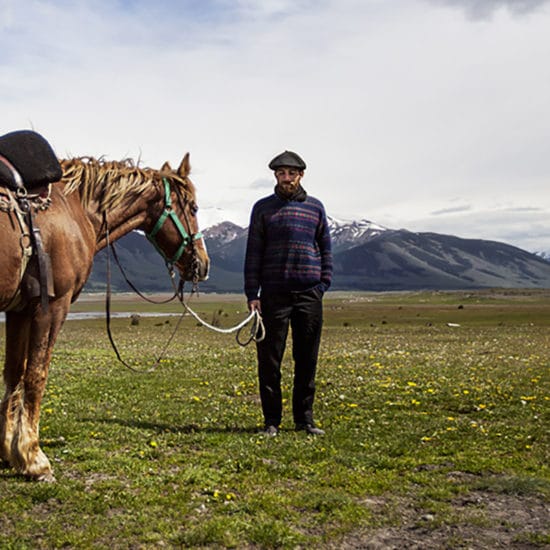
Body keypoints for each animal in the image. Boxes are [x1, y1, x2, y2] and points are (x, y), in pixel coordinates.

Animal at [0, 153, 211, 480]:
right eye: (193, 207)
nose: (203, 263)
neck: (71, 207)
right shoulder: (51, 305)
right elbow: (36, 375)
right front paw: (34, 458)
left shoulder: (19, 309)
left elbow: (13, 374)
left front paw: (11, 452)